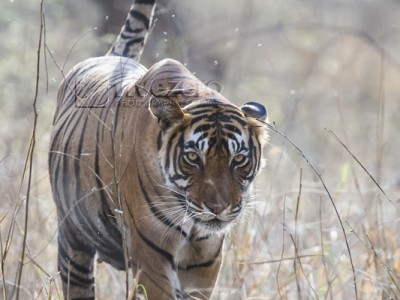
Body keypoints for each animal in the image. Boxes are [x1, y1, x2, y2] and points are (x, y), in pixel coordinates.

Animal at [49, 0, 268, 298]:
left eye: (238, 159)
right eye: (193, 157)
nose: (218, 208)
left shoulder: (204, 262)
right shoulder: (150, 255)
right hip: (73, 242)